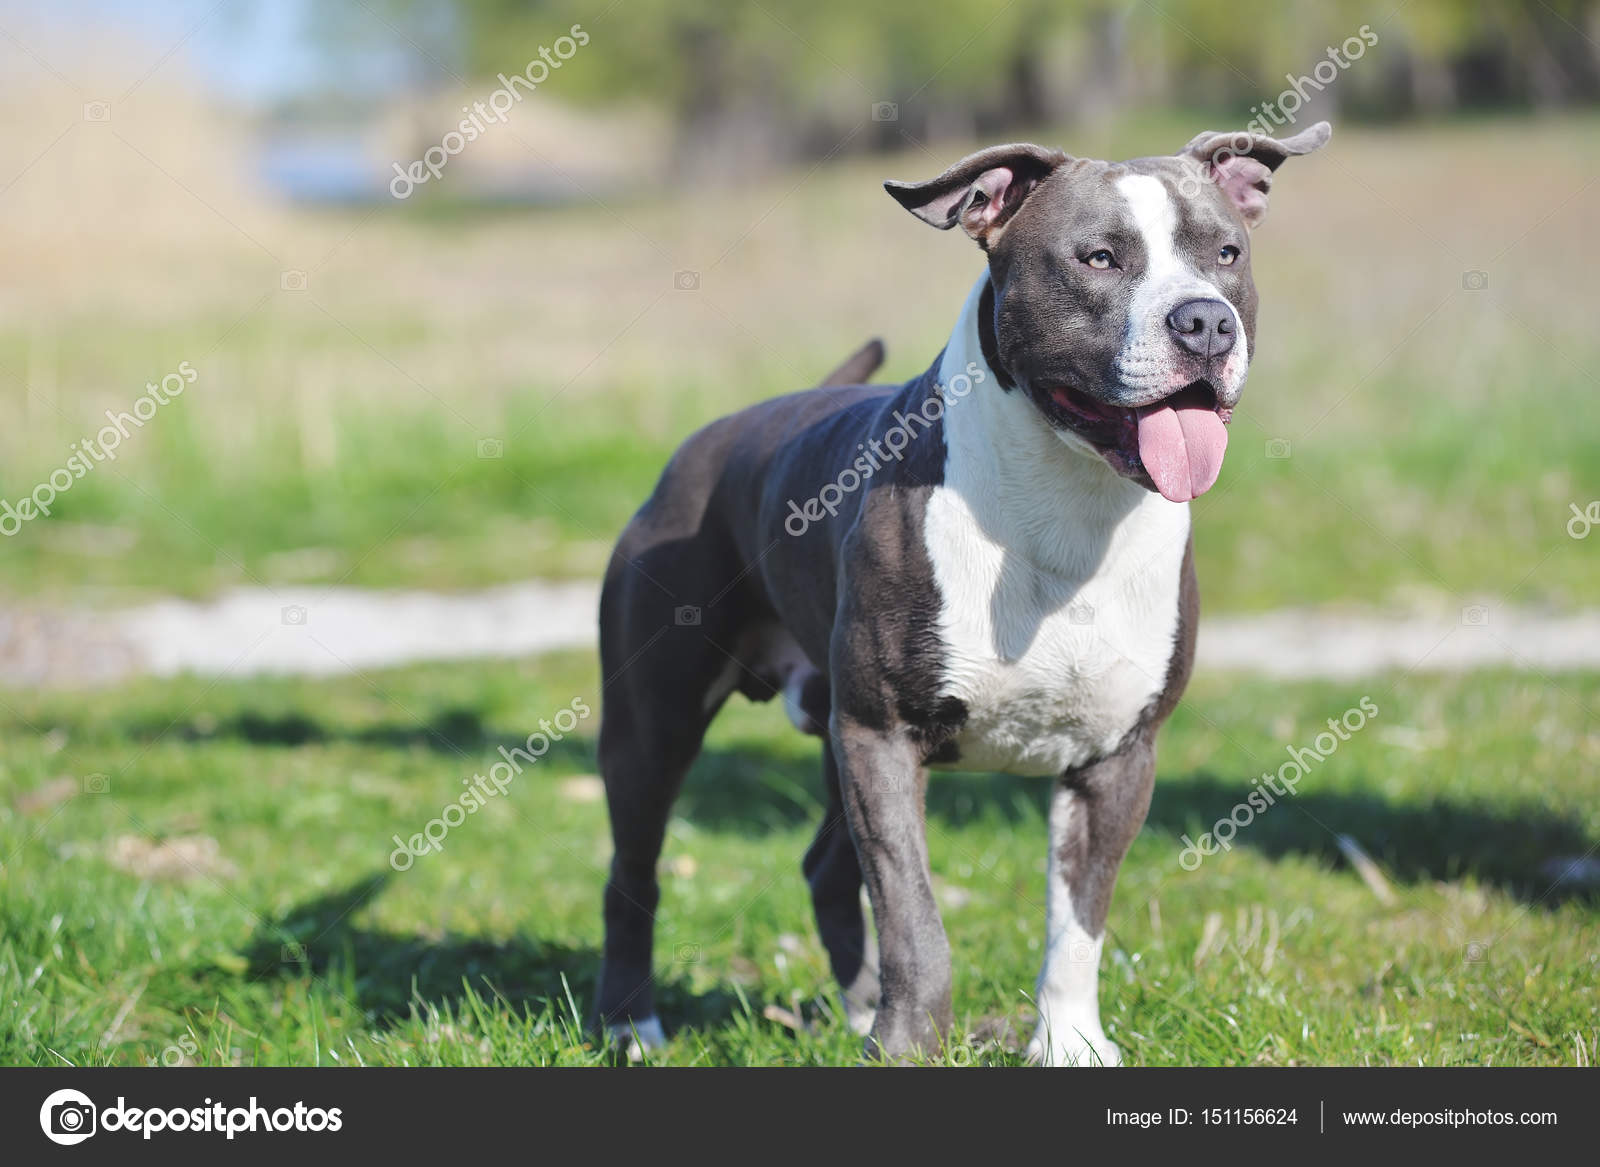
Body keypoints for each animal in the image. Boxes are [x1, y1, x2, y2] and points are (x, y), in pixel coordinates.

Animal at [595, 123, 1331, 1062]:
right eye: (1098, 257)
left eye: (1226, 254)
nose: (1205, 319)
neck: (1072, 502)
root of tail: (713, 439)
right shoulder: (881, 737)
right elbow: (915, 916)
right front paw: (910, 1045)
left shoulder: (1118, 757)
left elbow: (1078, 923)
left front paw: (1068, 1042)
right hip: (655, 725)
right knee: (633, 869)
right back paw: (632, 1022)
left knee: (826, 868)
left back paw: (854, 1012)